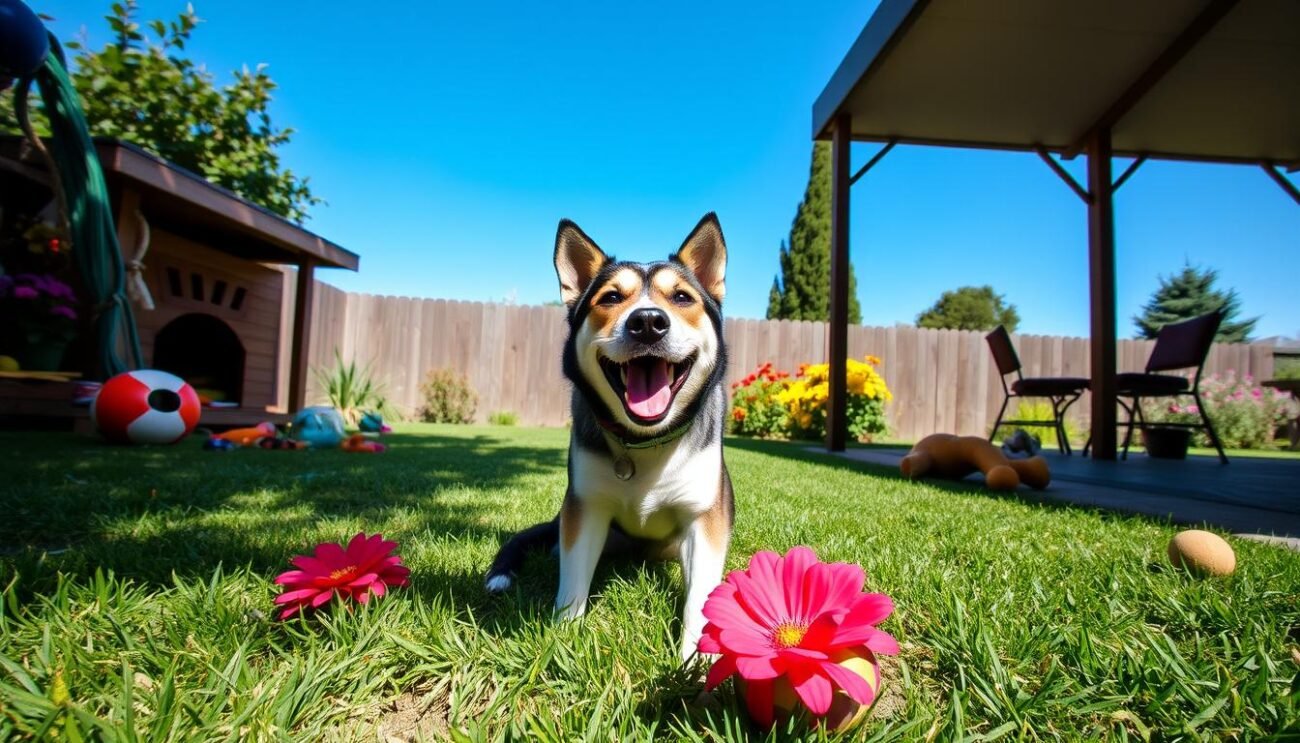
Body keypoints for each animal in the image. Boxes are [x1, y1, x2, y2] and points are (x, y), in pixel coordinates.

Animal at [486, 211, 733, 659]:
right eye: (612, 298)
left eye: (682, 297)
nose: (648, 322)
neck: (645, 440)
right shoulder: (585, 507)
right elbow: (572, 582)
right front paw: (563, 641)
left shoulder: (705, 519)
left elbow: (702, 597)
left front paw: (698, 657)